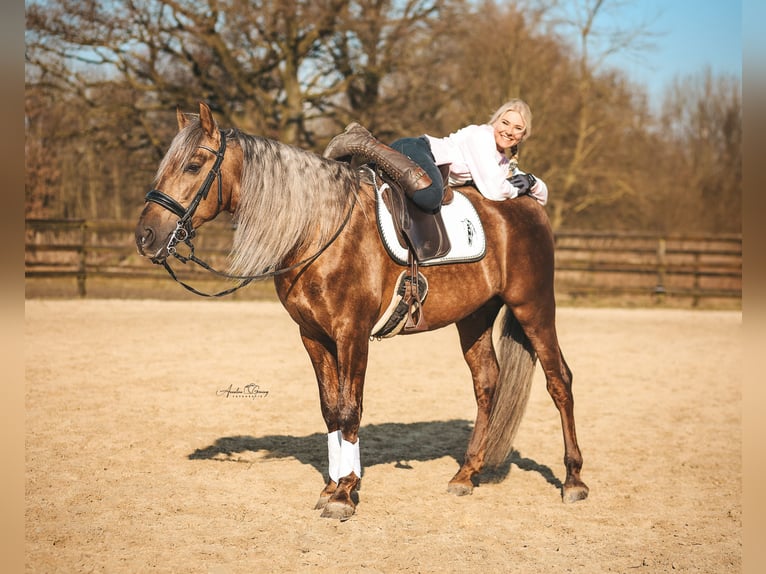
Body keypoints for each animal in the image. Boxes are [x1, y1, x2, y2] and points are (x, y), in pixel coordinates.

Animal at [135, 102, 592, 520]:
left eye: (194, 164)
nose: (146, 236)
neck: (319, 227)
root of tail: (529, 208)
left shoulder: (351, 333)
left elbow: (349, 409)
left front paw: (344, 493)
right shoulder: (313, 336)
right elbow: (330, 410)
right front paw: (333, 485)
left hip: (534, 305)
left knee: (559, 380)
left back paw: (573, 480)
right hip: (475, 316)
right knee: (487, 383)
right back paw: (466, 474)